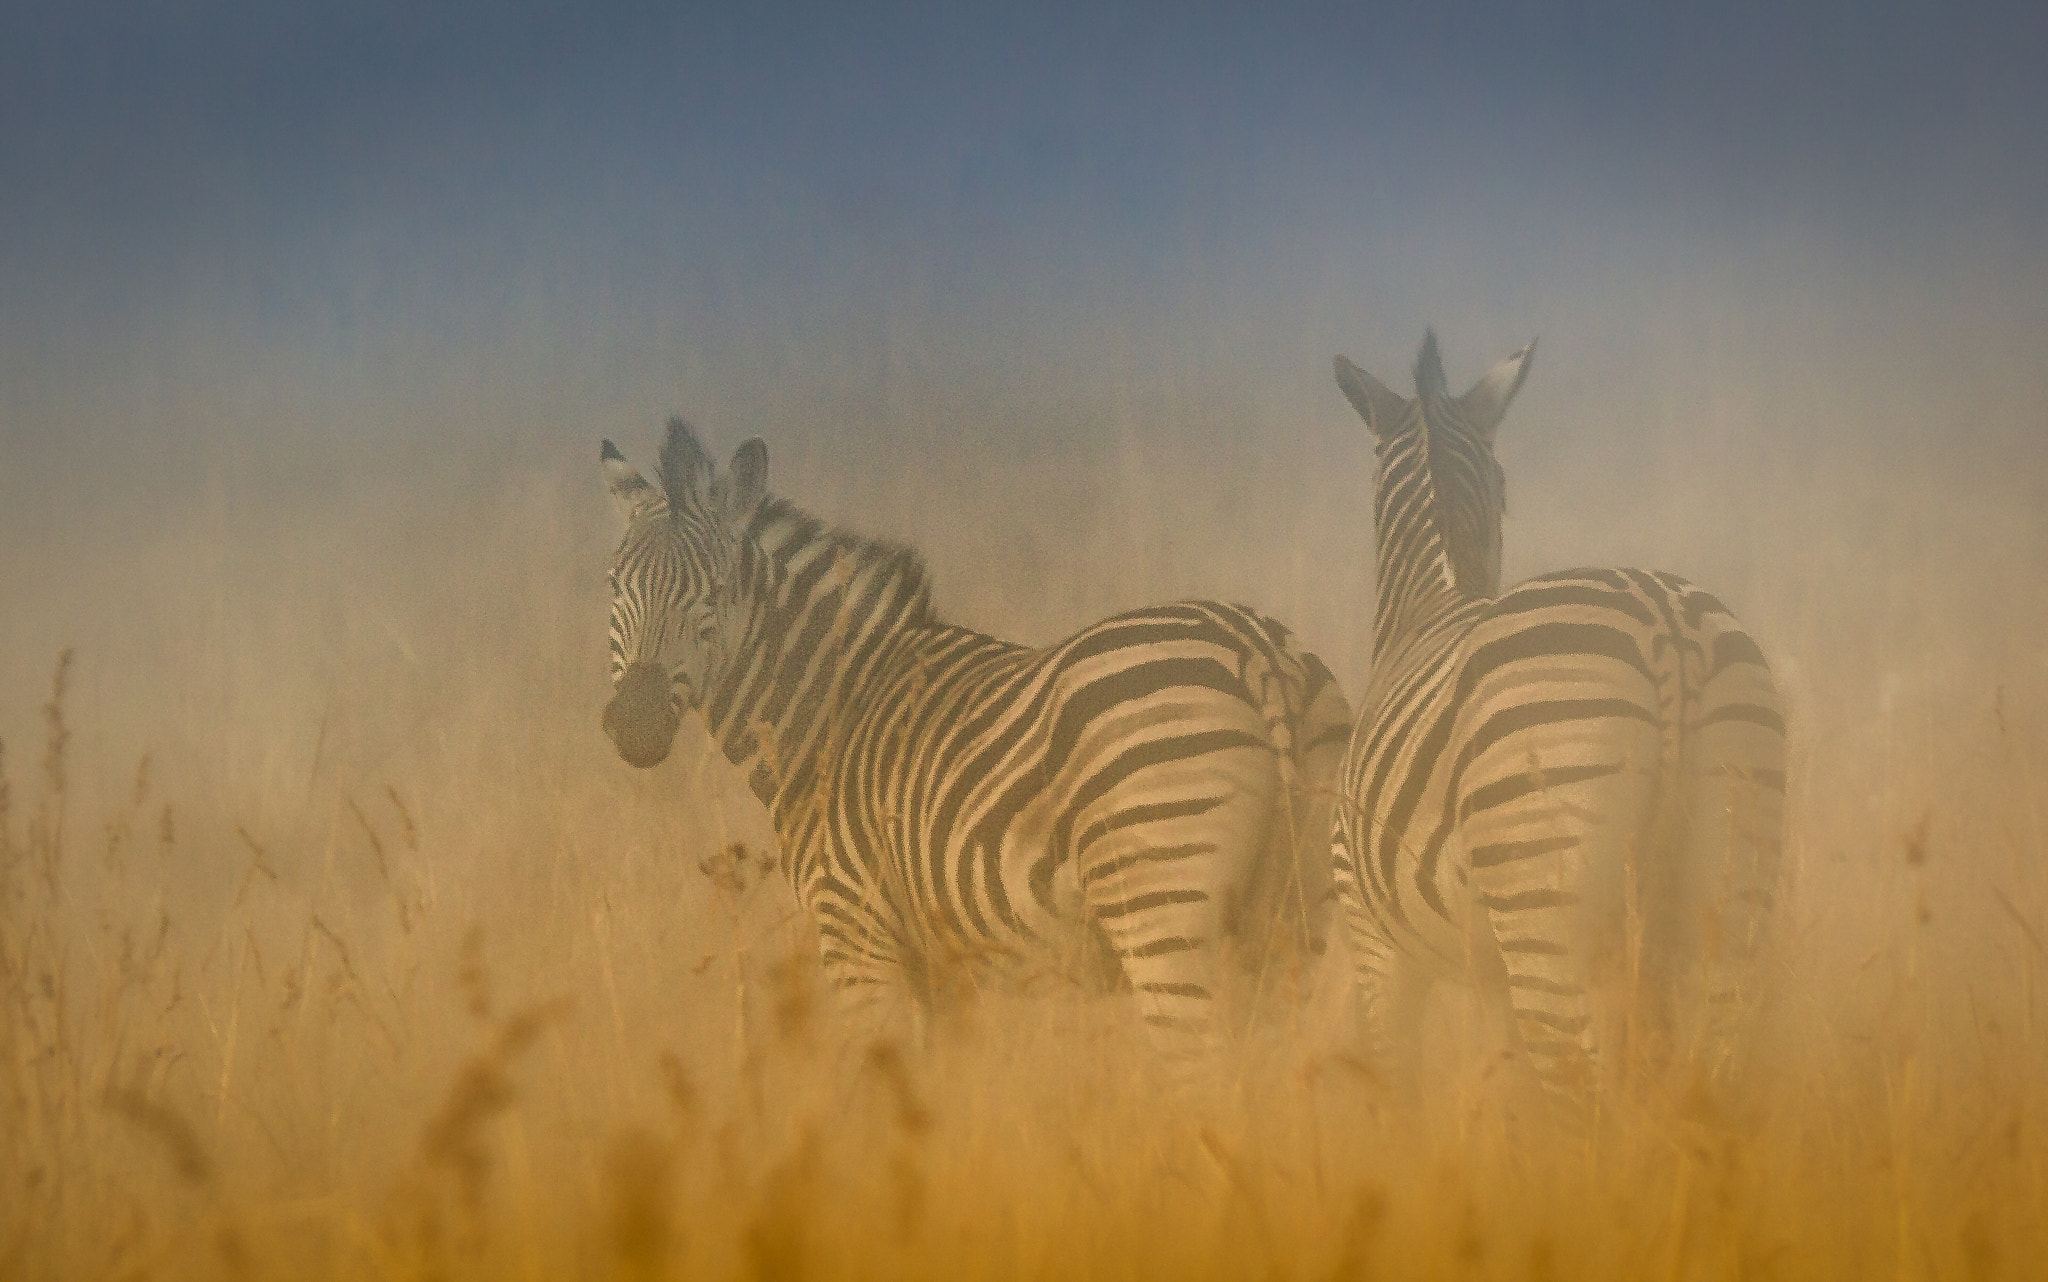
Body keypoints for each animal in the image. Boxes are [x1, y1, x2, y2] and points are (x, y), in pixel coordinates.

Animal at [598, 417, 1352, 1066]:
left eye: (715, 593)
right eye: (613, 586)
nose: (634, 722)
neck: (831, 709)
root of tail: (1255, 647)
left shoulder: (857, 938)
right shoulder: (943, 974)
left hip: (1160, 909)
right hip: (1297, 918)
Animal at [1327, 332, 1784, 1120]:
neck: (1429, 600)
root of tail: (1667, 626)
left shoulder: (1377, 943)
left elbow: (1402, 1092)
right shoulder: (1491, 975)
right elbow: (1515, 1104)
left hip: (1544, 903)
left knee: (1581, 1096)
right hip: (1728, 893)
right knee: (1713, 1083)